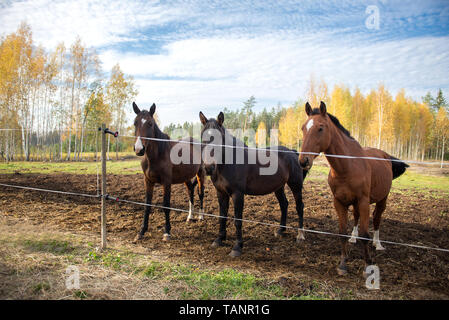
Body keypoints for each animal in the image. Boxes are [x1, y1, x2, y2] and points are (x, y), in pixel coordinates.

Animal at [131, 102, 205, 242]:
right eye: (135, 122)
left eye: (150, 123)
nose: (139, 149)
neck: (156, 155)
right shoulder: (148, 181)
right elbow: (147, 205)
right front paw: (141, 231)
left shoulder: (166, 182)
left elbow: (166, 205)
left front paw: (167, 232)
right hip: (186, 177)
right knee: (190, 191)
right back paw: (190, 217)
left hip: (201, 173)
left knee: (200, 193)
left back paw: (201, 217)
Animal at [200, 111, 308, 256]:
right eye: (203, 138)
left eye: (219, 139)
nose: (208, 168)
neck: (228, 162)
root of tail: (291, 152)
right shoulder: (221, 193)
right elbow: (222, 216)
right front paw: (219, 239)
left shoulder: (237, 194)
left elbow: (238, 220)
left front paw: (237, 247)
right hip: (278, 187)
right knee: (284, 204)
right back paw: (280, 231)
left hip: (295, 185)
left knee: (299, 206)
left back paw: (300, 235)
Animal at [300, 102, 408, 276]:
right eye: (303, 128)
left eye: (320, 128)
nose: (303, 160)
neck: (347, 167)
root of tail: (385, 155)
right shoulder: (339, 202)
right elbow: (342, 232)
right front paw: (343, 263)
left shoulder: (363, 202)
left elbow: (365, 234)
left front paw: (367, 265)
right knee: (357, 218)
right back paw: (353, 237)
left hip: (382, 199)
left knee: (377, 219)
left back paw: (378, 244)